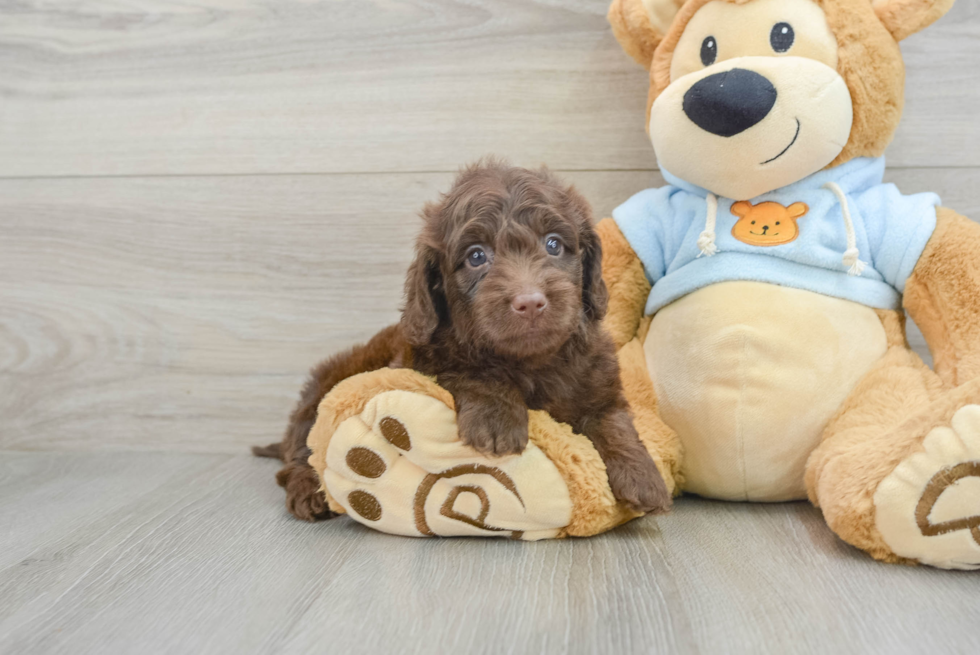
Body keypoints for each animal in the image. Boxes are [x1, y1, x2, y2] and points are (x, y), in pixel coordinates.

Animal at [258, 161, 672, 520]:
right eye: (476, 256)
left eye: (553, 245)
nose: (530, 302)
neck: (531, 362)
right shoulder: (424, 358)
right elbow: (473, 372)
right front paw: (497, 421)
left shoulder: (600, 378)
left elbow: (613, 420)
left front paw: (643, 476)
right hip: (323, 389)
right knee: (301, 455)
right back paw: (309, 493)